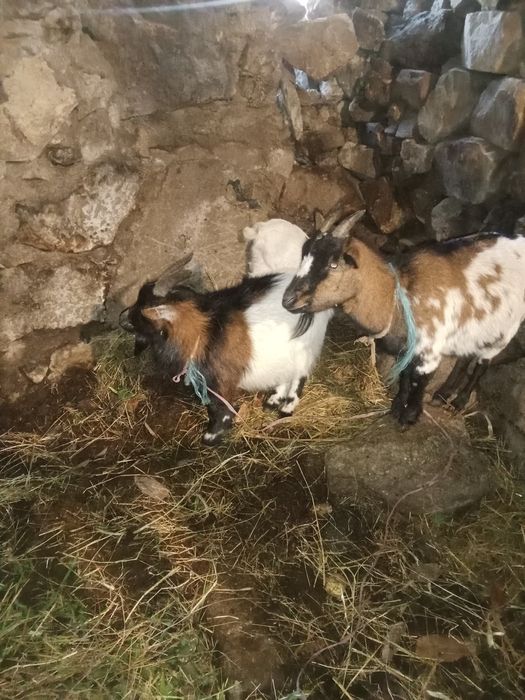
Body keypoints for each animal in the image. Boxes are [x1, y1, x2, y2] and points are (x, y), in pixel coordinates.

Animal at [120, 256, 328, 445]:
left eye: (142, 311)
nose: (123, 316)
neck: (204, 332)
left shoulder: (220, 381)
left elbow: (219, 408)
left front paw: (211, 437)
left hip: (305, 350)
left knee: (299, 377)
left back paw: (286, 410)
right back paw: (272, 402)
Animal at [282, 212, 525, 426]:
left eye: (334, 264)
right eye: (303, 256)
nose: (289, 300)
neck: (397, 296)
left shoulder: (429, 352)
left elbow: (419, 381)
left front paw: (410, 416)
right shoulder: (404, 348)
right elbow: (405, 378)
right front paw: (397, 407)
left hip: (506, 327)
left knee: (483, 363)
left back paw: (459, 401)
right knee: (465, 357)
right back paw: (443, 394)